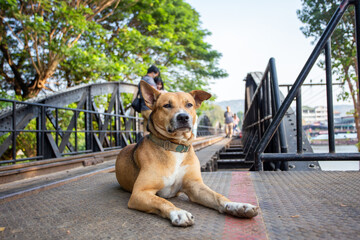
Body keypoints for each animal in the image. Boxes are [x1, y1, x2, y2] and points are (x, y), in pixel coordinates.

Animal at [115, 81, 258, 227]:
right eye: (167, 105)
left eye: (189, 104)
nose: (183, 116)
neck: (175, 148)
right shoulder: (139, 192)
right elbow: (162, 201)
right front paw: (178, 212)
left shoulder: (195, 186)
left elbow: (217, 196)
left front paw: (237, 205)